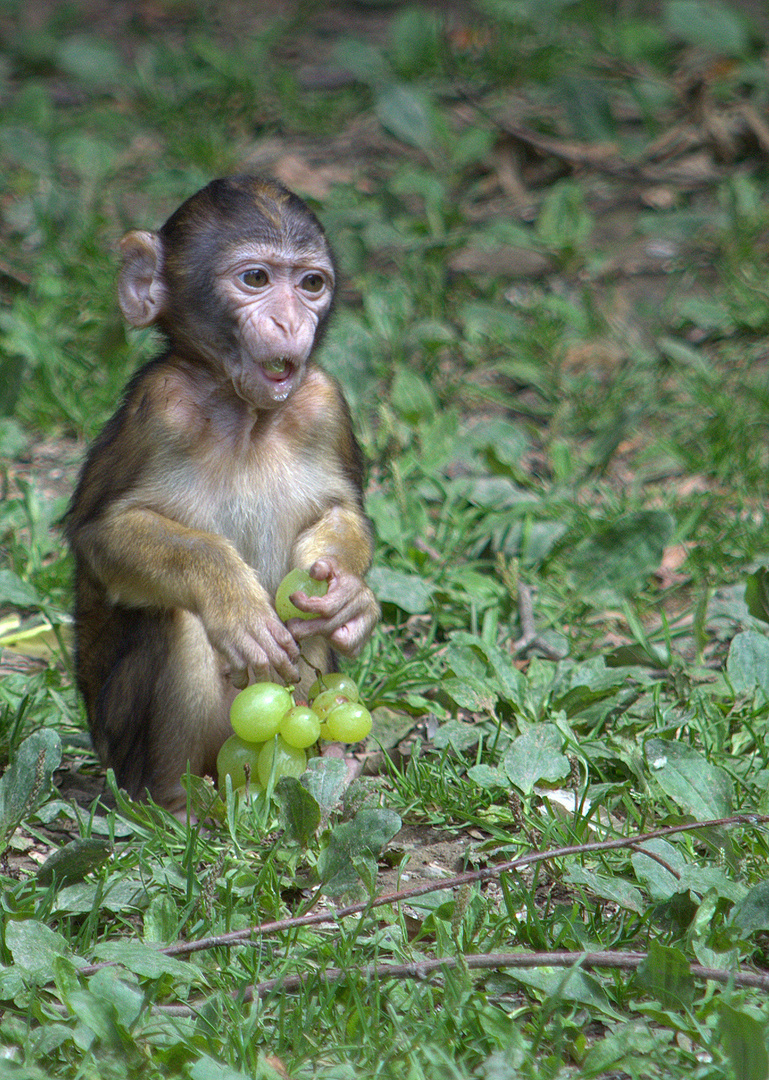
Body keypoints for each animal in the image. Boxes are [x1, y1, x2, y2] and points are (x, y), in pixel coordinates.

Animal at [64, 172, 378, 812]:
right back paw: (174, 804)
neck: (242, 414)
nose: (290, 324)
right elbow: (101, 537)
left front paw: (348, 597)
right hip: (126, 754)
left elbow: (342, 514)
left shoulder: (325, 403)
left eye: (310, 284)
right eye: (255, 279)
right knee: (178, 621)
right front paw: (231, 596)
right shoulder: (157, 408)